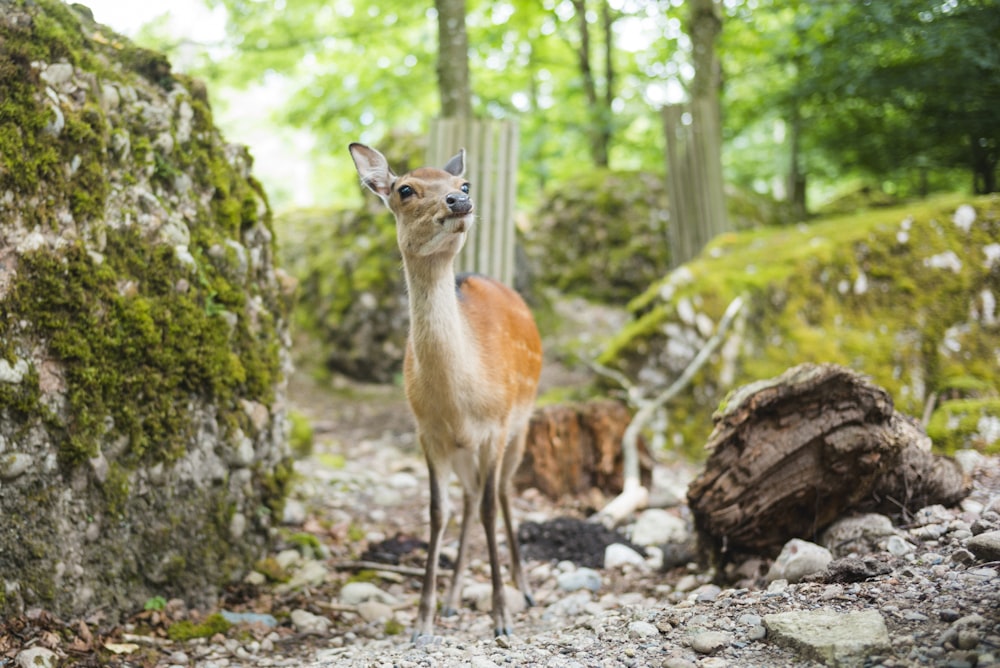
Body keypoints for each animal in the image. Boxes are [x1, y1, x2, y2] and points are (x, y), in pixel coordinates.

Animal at [348, 142, 544, 640]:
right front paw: (422, 622)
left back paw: (525, 588)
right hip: (463, 451)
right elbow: (438, 512)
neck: (459, 401)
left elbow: (491, 508)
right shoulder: (428, 433)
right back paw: (454, 600)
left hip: (523, 422)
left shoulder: (496, 427)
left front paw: (501, 618)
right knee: (472, 498)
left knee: (502, 493)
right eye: (404, 189)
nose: (459, 201)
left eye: (464, 183)